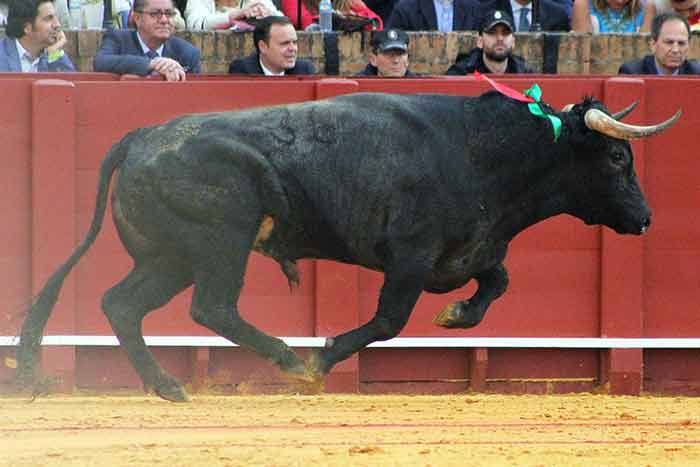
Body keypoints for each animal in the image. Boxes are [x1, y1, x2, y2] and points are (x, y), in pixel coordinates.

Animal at [13, 90, 680, 402]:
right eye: (618, 159)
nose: (647, 218)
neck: (476, 151)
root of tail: (142, 134)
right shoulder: (408, 257)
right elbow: (388, 320)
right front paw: (324, 357)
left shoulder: (471, 252)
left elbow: (496, 282)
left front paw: (455, 314)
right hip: (220, 243)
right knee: (212, 307)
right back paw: (288, 359)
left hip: (169, 257)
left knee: (122, 304)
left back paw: (169, 387)